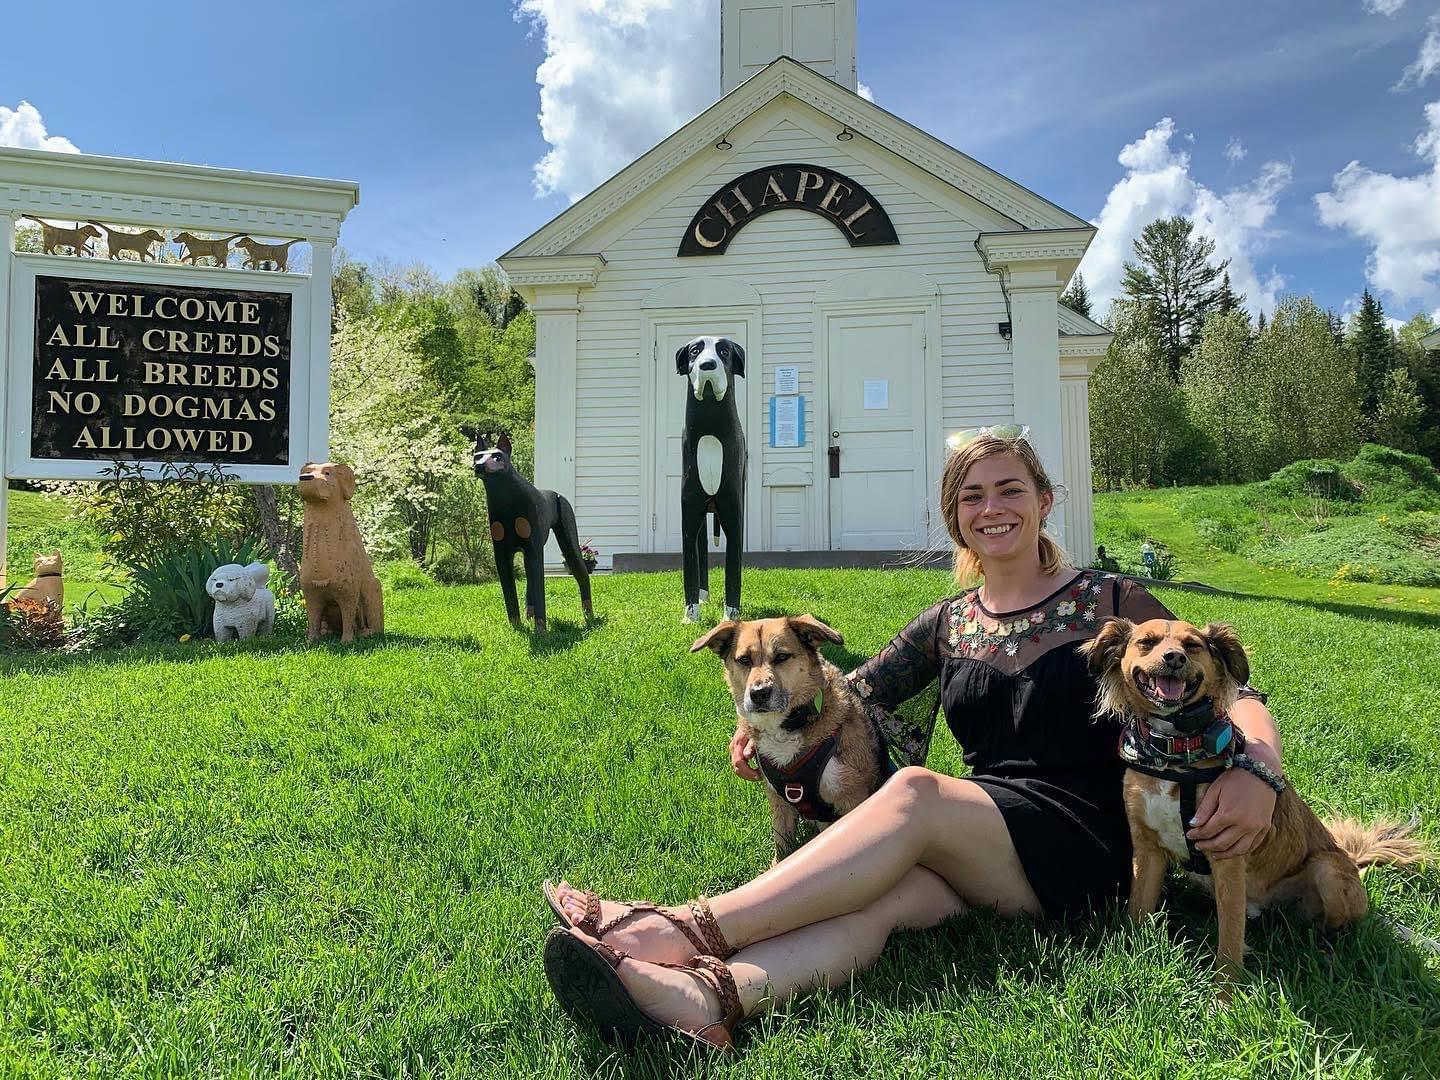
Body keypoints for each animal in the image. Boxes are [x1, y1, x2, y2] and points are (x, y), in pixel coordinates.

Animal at [691, 616, 892, 864]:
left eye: (782, 657)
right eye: (744, 660)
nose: (759, 693)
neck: (786, 725)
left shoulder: (853, 799)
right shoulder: (779, 802)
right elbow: (782, 848)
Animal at [1082, 622, 1428, 996]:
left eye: (1193, 645)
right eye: (1147, 642)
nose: (1174, 658)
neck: (1176, 752)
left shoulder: (1227, 858)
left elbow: (1230, 941)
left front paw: (1224, 997)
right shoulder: (1147, 851)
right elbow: (1138, 908)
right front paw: (1132, 956)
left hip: (1327, 870)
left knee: (1335, 929)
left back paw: (1328, 956)